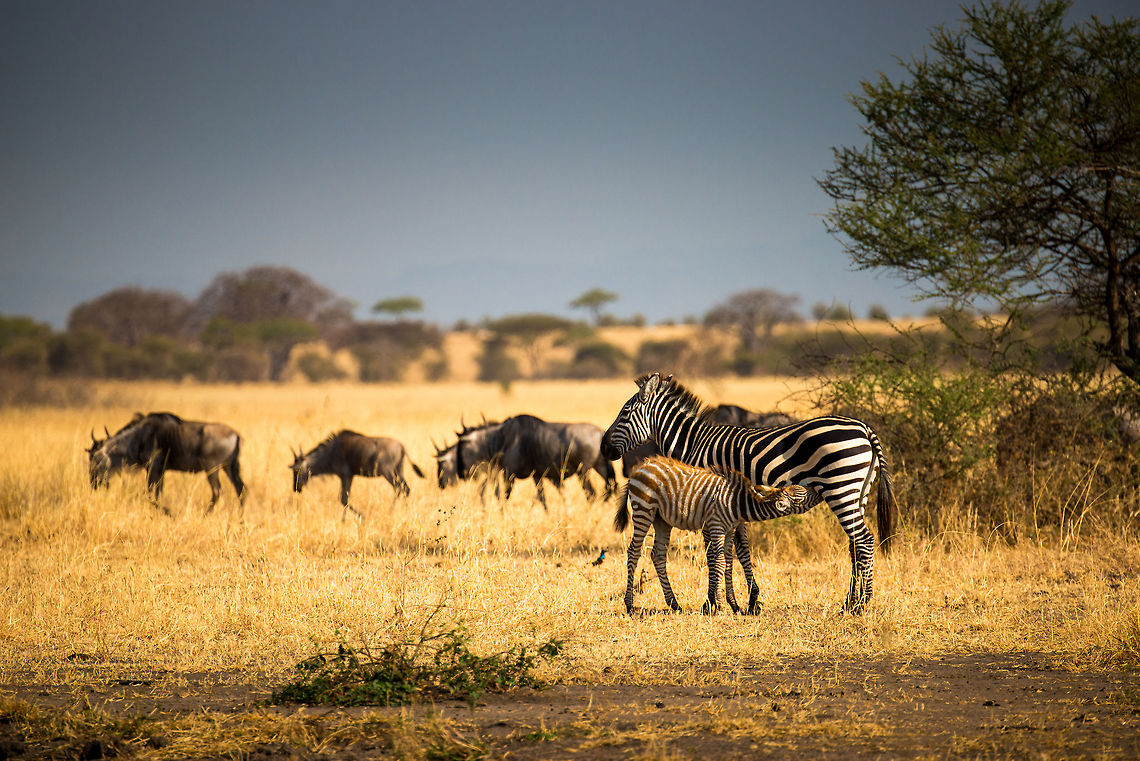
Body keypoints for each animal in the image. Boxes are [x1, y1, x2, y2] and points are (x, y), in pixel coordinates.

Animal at [616, 455, 820, 615]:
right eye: (802, 495)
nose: (818, 489)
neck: (737, 502)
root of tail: (639, 469)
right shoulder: (716, 525)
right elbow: (720, 562)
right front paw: (719, 606)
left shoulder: (729, 530)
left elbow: (728, 562)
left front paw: (733, 605)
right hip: (643, 509)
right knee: (633, 552)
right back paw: (629, 605)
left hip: (661, 520)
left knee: (657, 554)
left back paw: (674, 604)